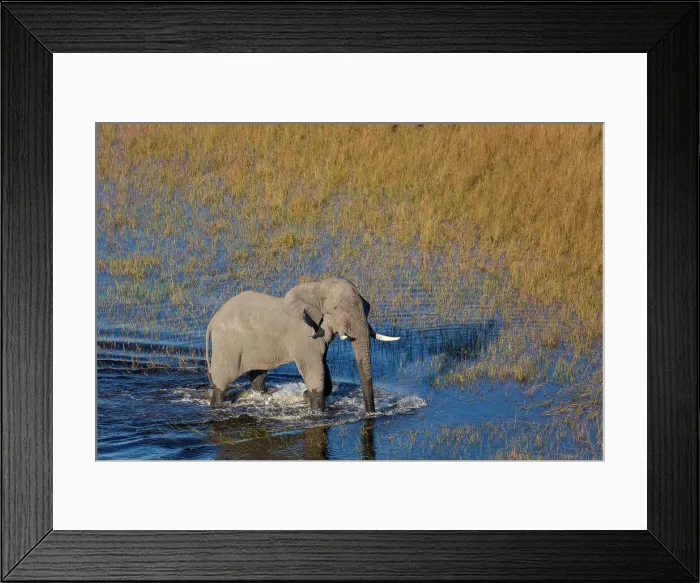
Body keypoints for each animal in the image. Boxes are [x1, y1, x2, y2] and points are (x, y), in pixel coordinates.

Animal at [205, 278, 399, 413]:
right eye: (335, 309)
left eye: (367, 307)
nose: (370, 414)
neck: (317, 287)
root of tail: (213, 320)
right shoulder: (304, 335)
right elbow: (314, 369)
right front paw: (317, 410)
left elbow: (324, 366)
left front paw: (305, 396)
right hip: (227, 345)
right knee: (222, 381)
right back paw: (217, 404)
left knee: (258, 376)